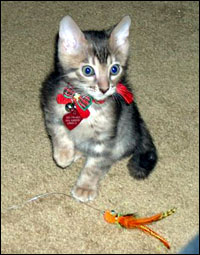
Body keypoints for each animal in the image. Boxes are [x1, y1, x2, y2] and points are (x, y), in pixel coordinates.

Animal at [40, 15, 157, 203]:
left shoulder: (106, 138)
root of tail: (139, 123)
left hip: (123, 138)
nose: (104, 88)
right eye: (88, 70)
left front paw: (85, 187)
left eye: (114, 69)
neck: (87, 103)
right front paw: (63, 154)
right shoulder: (50, 106)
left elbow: (95, 166)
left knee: (108, 160)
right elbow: (58, 132)